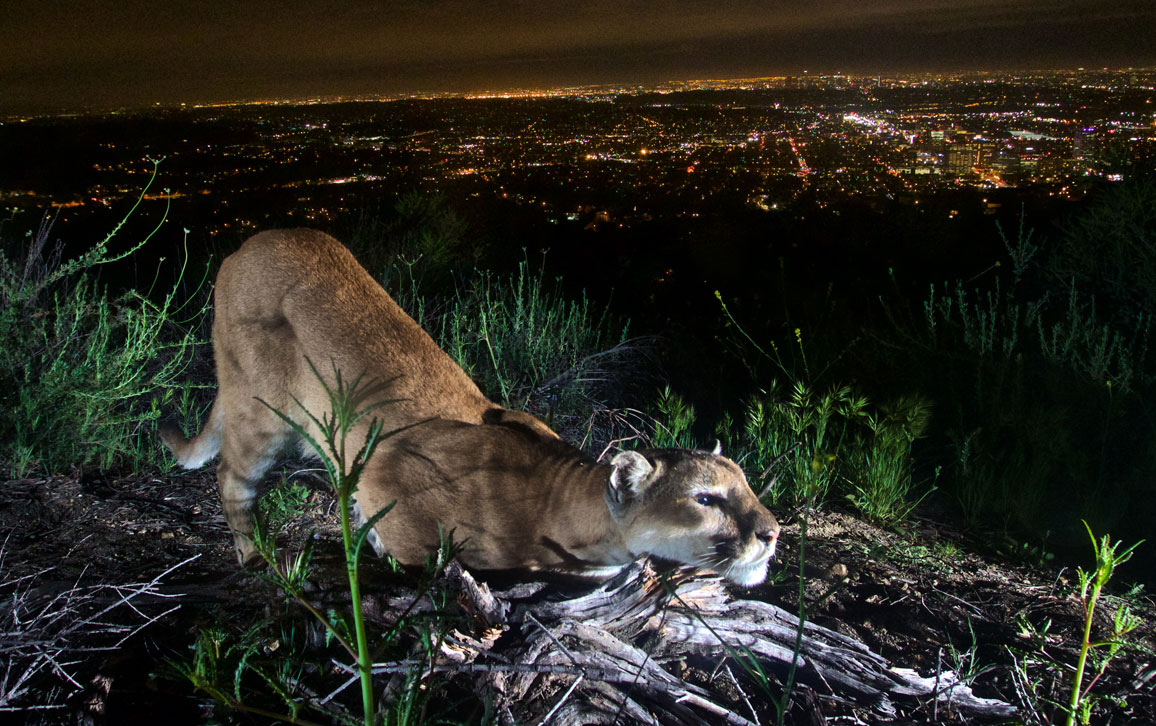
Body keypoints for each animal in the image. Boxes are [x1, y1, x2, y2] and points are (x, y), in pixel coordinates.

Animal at [162, 229, 780, 584]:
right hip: (261, 413)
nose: (772, 532)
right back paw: (256, 560)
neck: (560, 502)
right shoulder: (388, 473)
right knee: (232, 480)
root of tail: (247, 244)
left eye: (747, 487)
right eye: (705, 498)